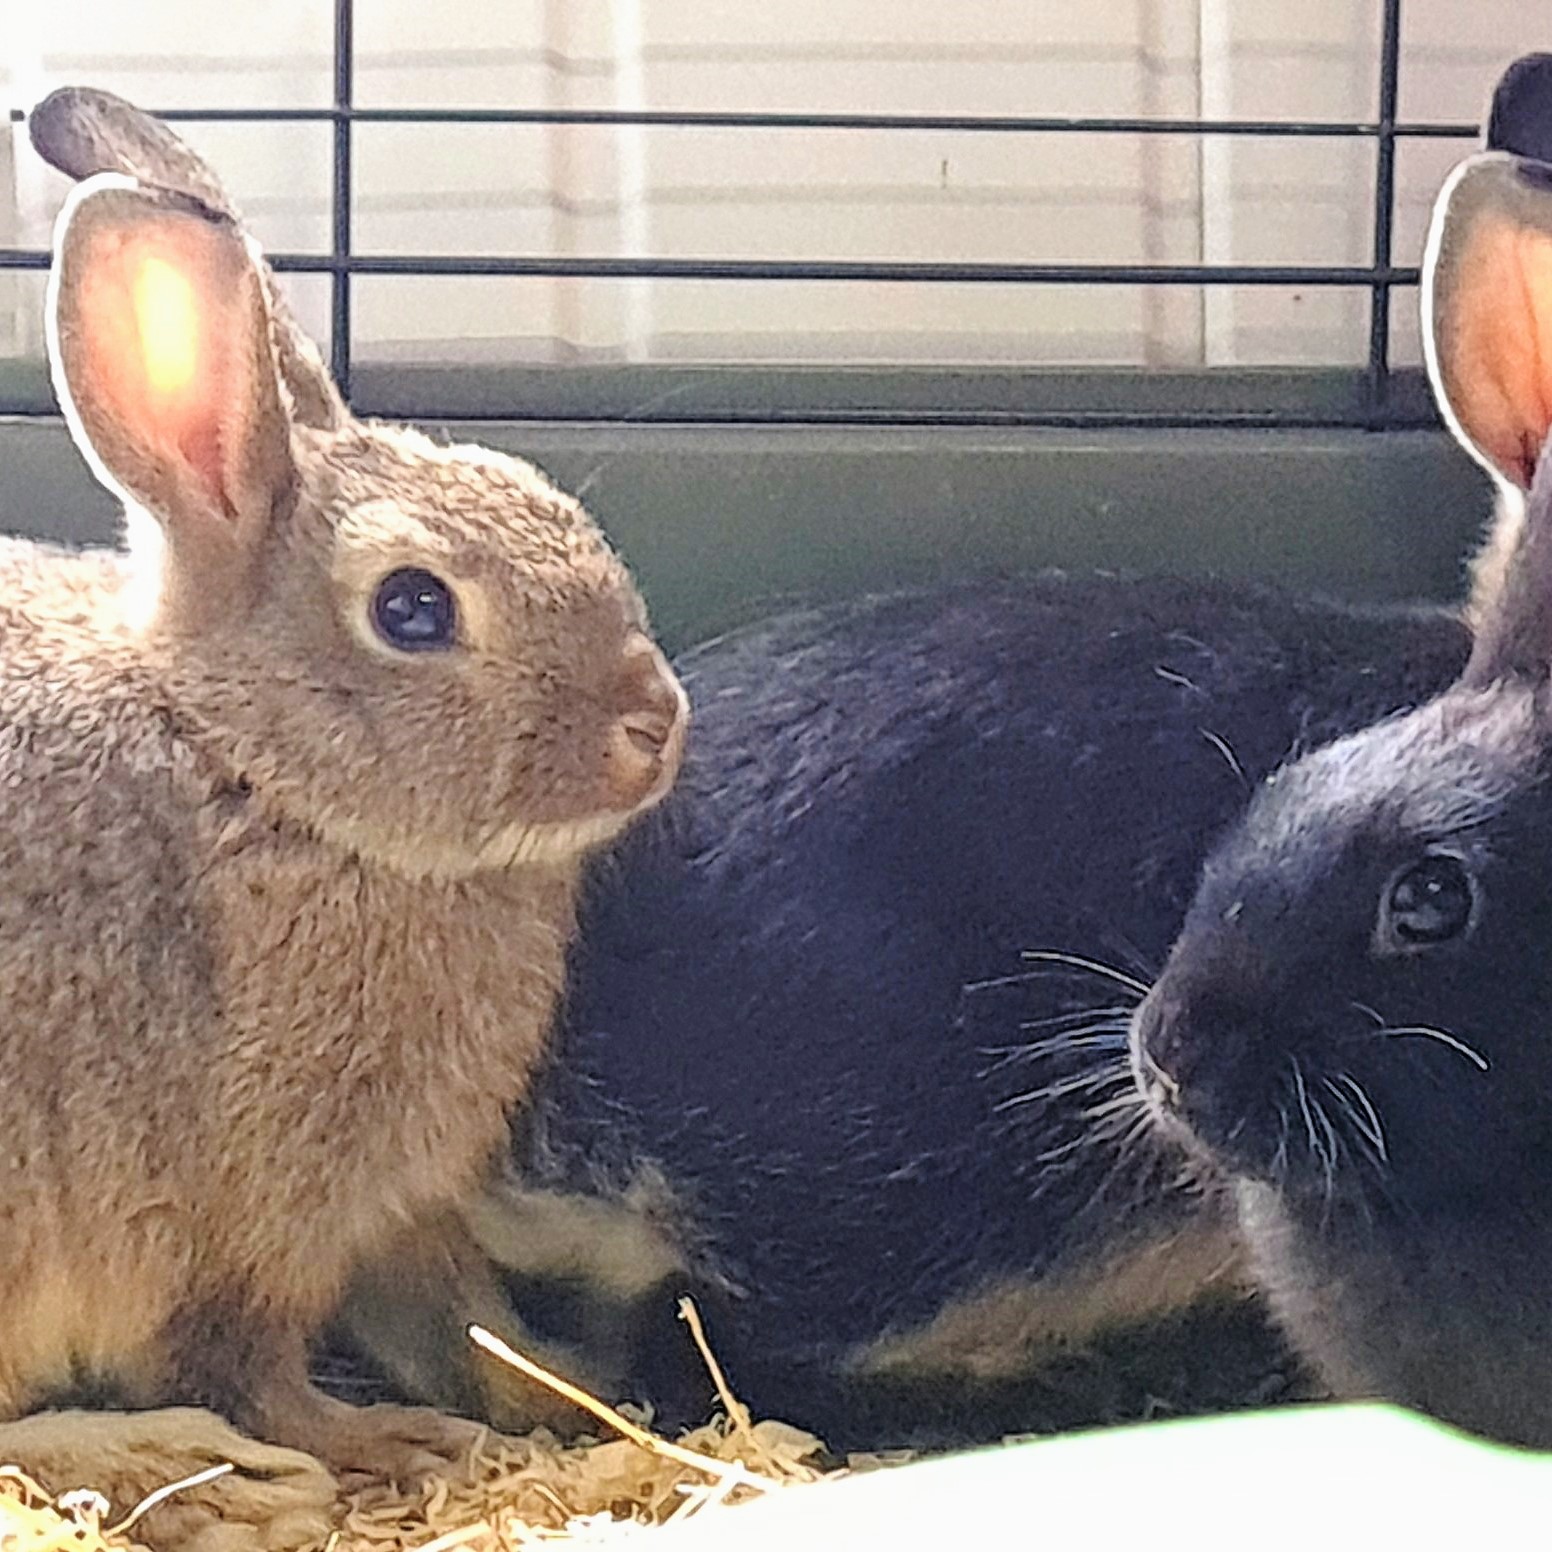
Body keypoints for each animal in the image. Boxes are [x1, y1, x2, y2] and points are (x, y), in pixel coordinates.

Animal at [0, 84, 686, 1548]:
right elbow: (250, 1364)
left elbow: (461, 1317)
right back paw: (200, 1476)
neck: (253, 768)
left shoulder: (394, 1212)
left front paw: (571, 1401)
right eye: (412, 609)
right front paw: (379, 1448)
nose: (655, 721)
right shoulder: (239, 1225)